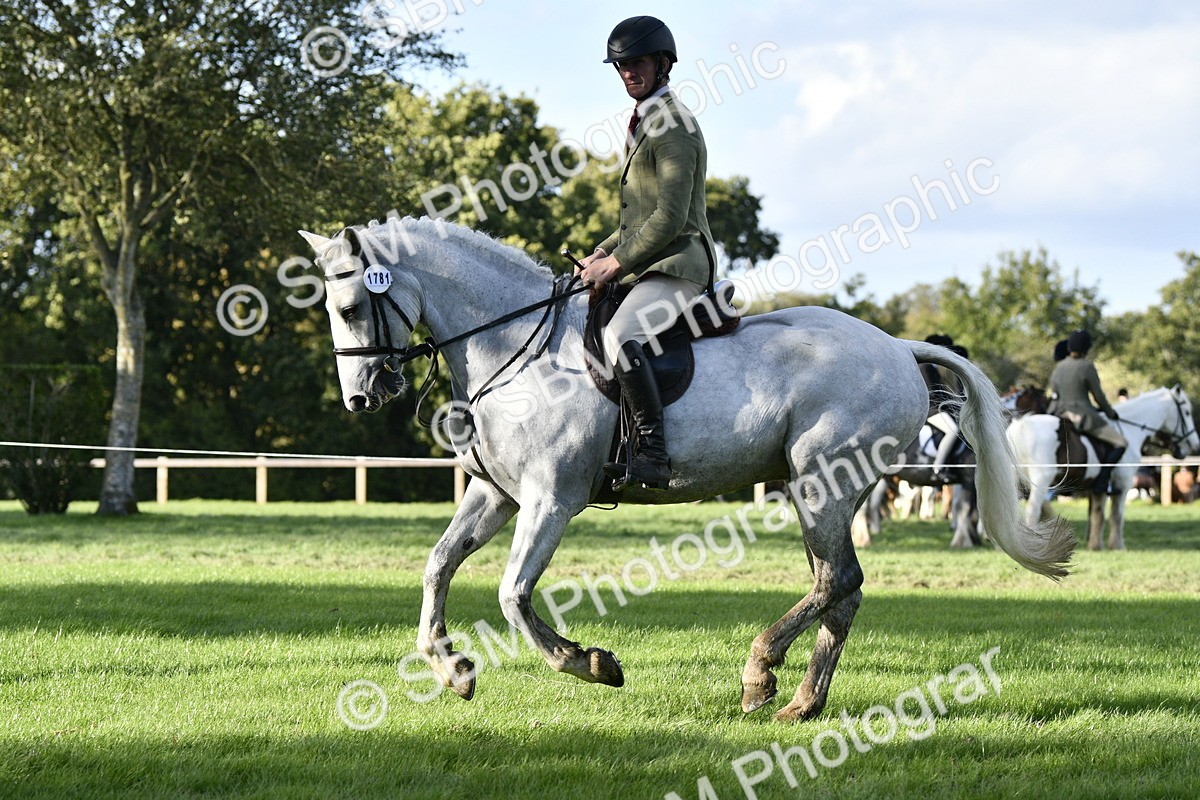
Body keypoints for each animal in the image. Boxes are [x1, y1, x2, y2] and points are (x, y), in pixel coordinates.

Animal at [300, 216, 1074, 722]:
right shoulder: (497, 495)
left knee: (837, 581)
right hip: (824, 491)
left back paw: (761, 674)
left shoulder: (552, 499)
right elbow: (437, 566)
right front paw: (451, 667)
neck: (517, 345)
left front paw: (589, 664)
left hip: (820, 482)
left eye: (350, 307)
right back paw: (801, 703)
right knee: (840, 588)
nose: (362, 396)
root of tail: (896, 347)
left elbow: (513, 595)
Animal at [1006, 387, 1199, 550]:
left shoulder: (1099, 487)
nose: (1194, 444)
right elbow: (1117, 515)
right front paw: (1117, 545)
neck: (1129, 429)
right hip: (1041, 479)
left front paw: (1095, 545)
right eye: (1187, 413)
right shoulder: (1122, 483)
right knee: (1032, 510)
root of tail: (1020, 426)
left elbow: (1097, 514)